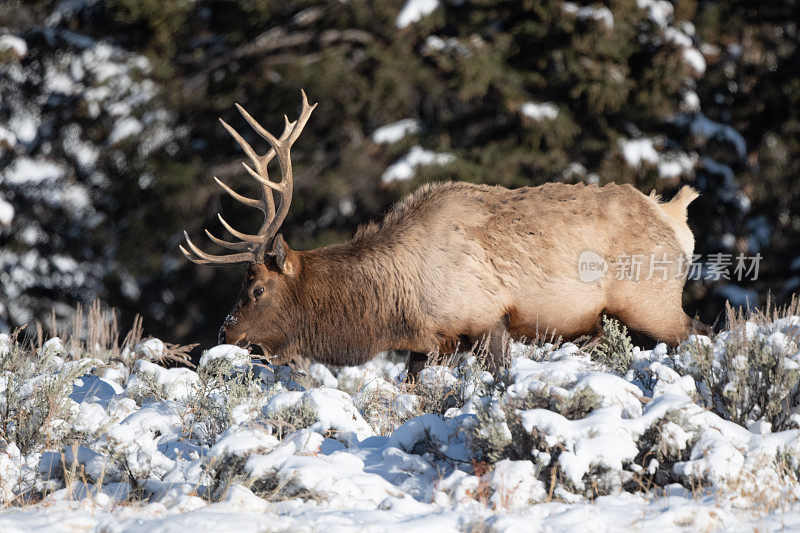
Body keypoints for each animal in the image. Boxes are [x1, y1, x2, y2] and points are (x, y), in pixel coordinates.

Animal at [181, 90, 708, 374]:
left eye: (257, 289)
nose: (225, 333)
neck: (396, 306)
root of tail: (674, 215)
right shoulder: (427, 345)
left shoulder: (486, 317)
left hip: (652, 301)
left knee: (707, 331)